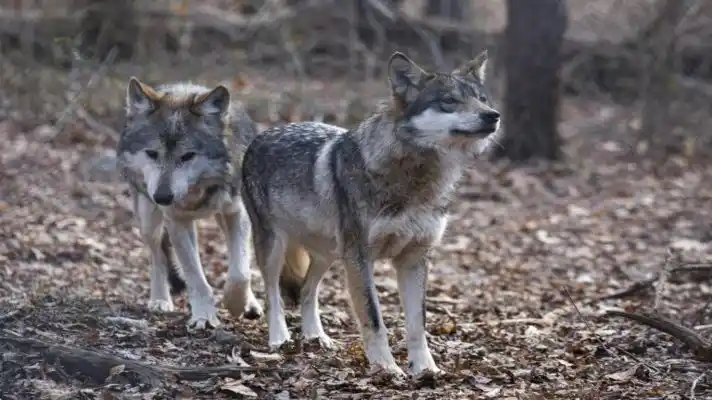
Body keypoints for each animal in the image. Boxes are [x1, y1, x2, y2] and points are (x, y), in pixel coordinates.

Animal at [116, 78, 309, 330]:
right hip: (149, 219)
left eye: (187, 156)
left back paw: (251, 304)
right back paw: (160, 300)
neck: (198, 191)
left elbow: (240, 272)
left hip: (225, 217)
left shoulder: (238, 213)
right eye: (151, 153)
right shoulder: (177, 220)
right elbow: (195, 275)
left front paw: (237, 304)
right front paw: (205, 316)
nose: (163, 197)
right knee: (157, 256)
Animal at [241, 49, 501, 376]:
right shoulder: (360, 258)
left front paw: (425, 370)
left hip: (329, 255)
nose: (493, 115)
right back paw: (279, 339)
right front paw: (386, 368)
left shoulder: (414, 259)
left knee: (306, 291)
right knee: (273, 294)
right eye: (449, 101)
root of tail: (265, 132)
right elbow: (374, 318)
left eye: (482, 99)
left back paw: (316, 337)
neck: (415, 179)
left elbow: (418, 325)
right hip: (275, 247)